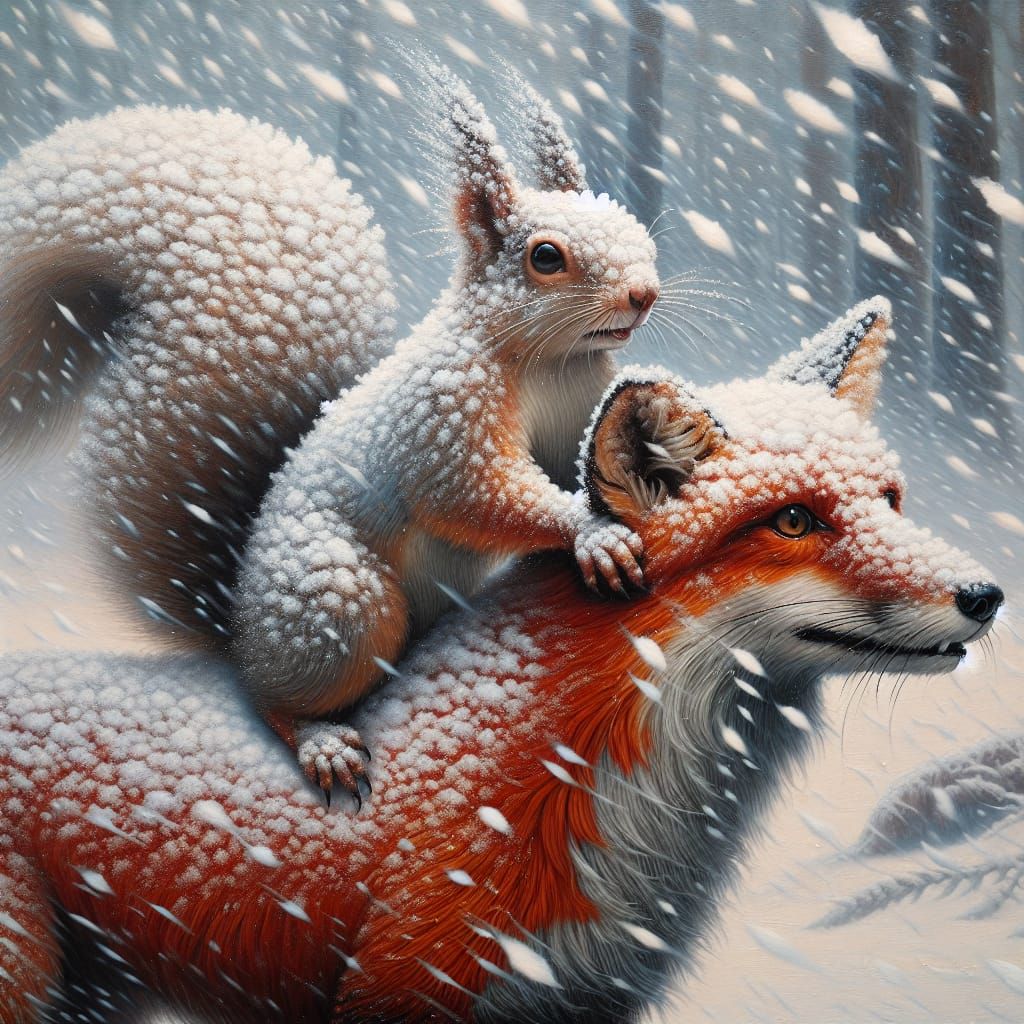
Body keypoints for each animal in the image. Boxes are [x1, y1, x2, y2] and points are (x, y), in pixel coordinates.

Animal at [0, 70, 659, 795]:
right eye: (545, 256)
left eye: (635, 230)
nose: (644, 293)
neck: (551, 362)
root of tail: (239, 630)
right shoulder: (442, 416)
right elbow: (472, 494)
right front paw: (590, 530)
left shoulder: (577, 409)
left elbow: (572, 462)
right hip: (339, 602)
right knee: (277, 697)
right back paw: (320, 740)